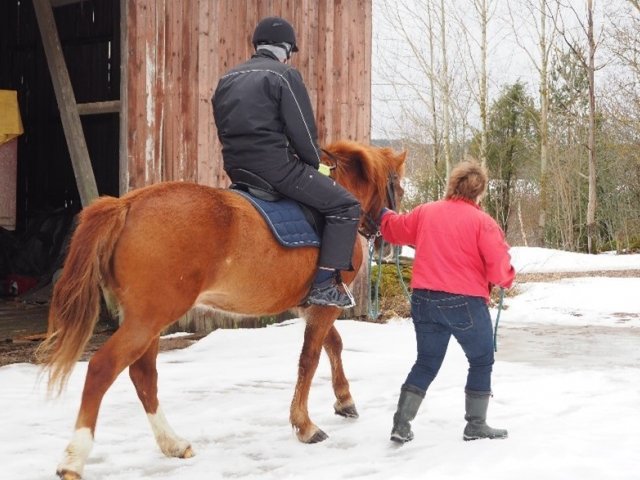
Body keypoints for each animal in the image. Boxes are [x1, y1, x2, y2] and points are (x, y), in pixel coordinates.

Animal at [36, 139, 404, 480]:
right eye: (397, 186)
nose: (387, 246)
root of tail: (127, 203)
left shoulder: (312, 305)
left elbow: (333, 345)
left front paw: (344, 400)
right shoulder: (322, 307)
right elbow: (310, 359)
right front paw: (305, 425)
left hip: (147, 320)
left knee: (143, 376)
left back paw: (172, 443)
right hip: (147, 319)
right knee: (102, 368)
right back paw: (74, 459)